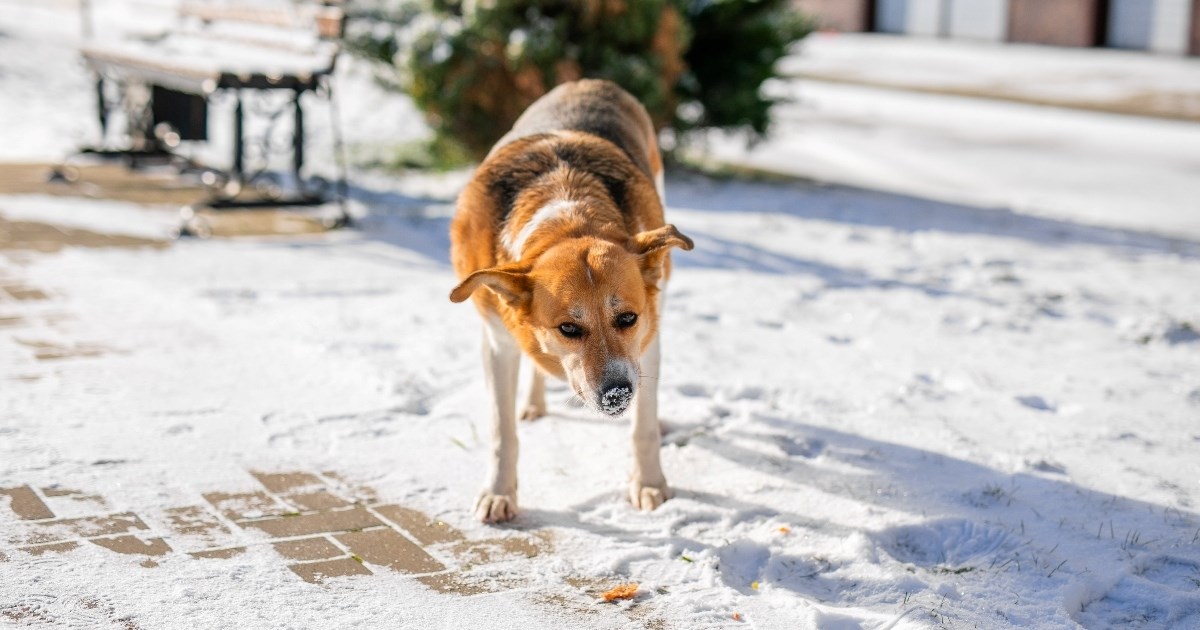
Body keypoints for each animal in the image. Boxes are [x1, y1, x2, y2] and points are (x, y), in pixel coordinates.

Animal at [451, 78, 696, 520]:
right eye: (568, 328)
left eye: (628, 318)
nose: (617, 395)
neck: (568, 219)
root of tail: (592, 81)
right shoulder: (496, 342)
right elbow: (501, 431)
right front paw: (499, 493)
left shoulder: (646, 341)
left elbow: (643, 426)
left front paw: (649, 484)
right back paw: (533, 404)